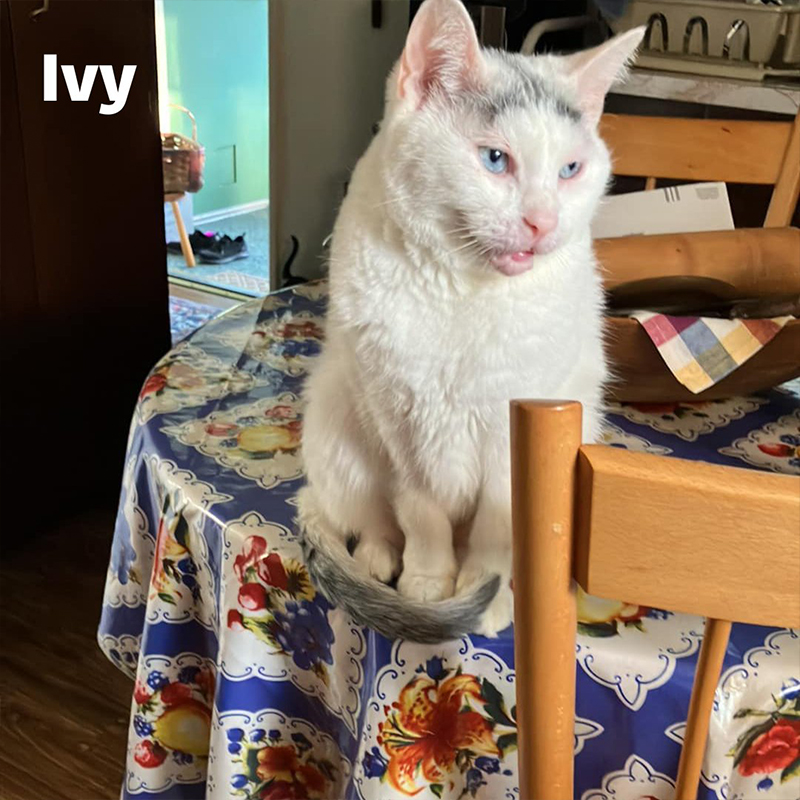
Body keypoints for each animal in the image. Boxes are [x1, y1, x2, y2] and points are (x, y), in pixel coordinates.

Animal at [296, 0, 640, 640]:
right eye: (495, 159)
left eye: (571, 169)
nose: (541, 222)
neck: (461, 291)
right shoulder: (400, 420)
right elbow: (422, 512)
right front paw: (429, 582)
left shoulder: (519, 433)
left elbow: (497, 530)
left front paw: (495, 593)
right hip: (340, 421)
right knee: (369, 517)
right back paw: (378, 557)